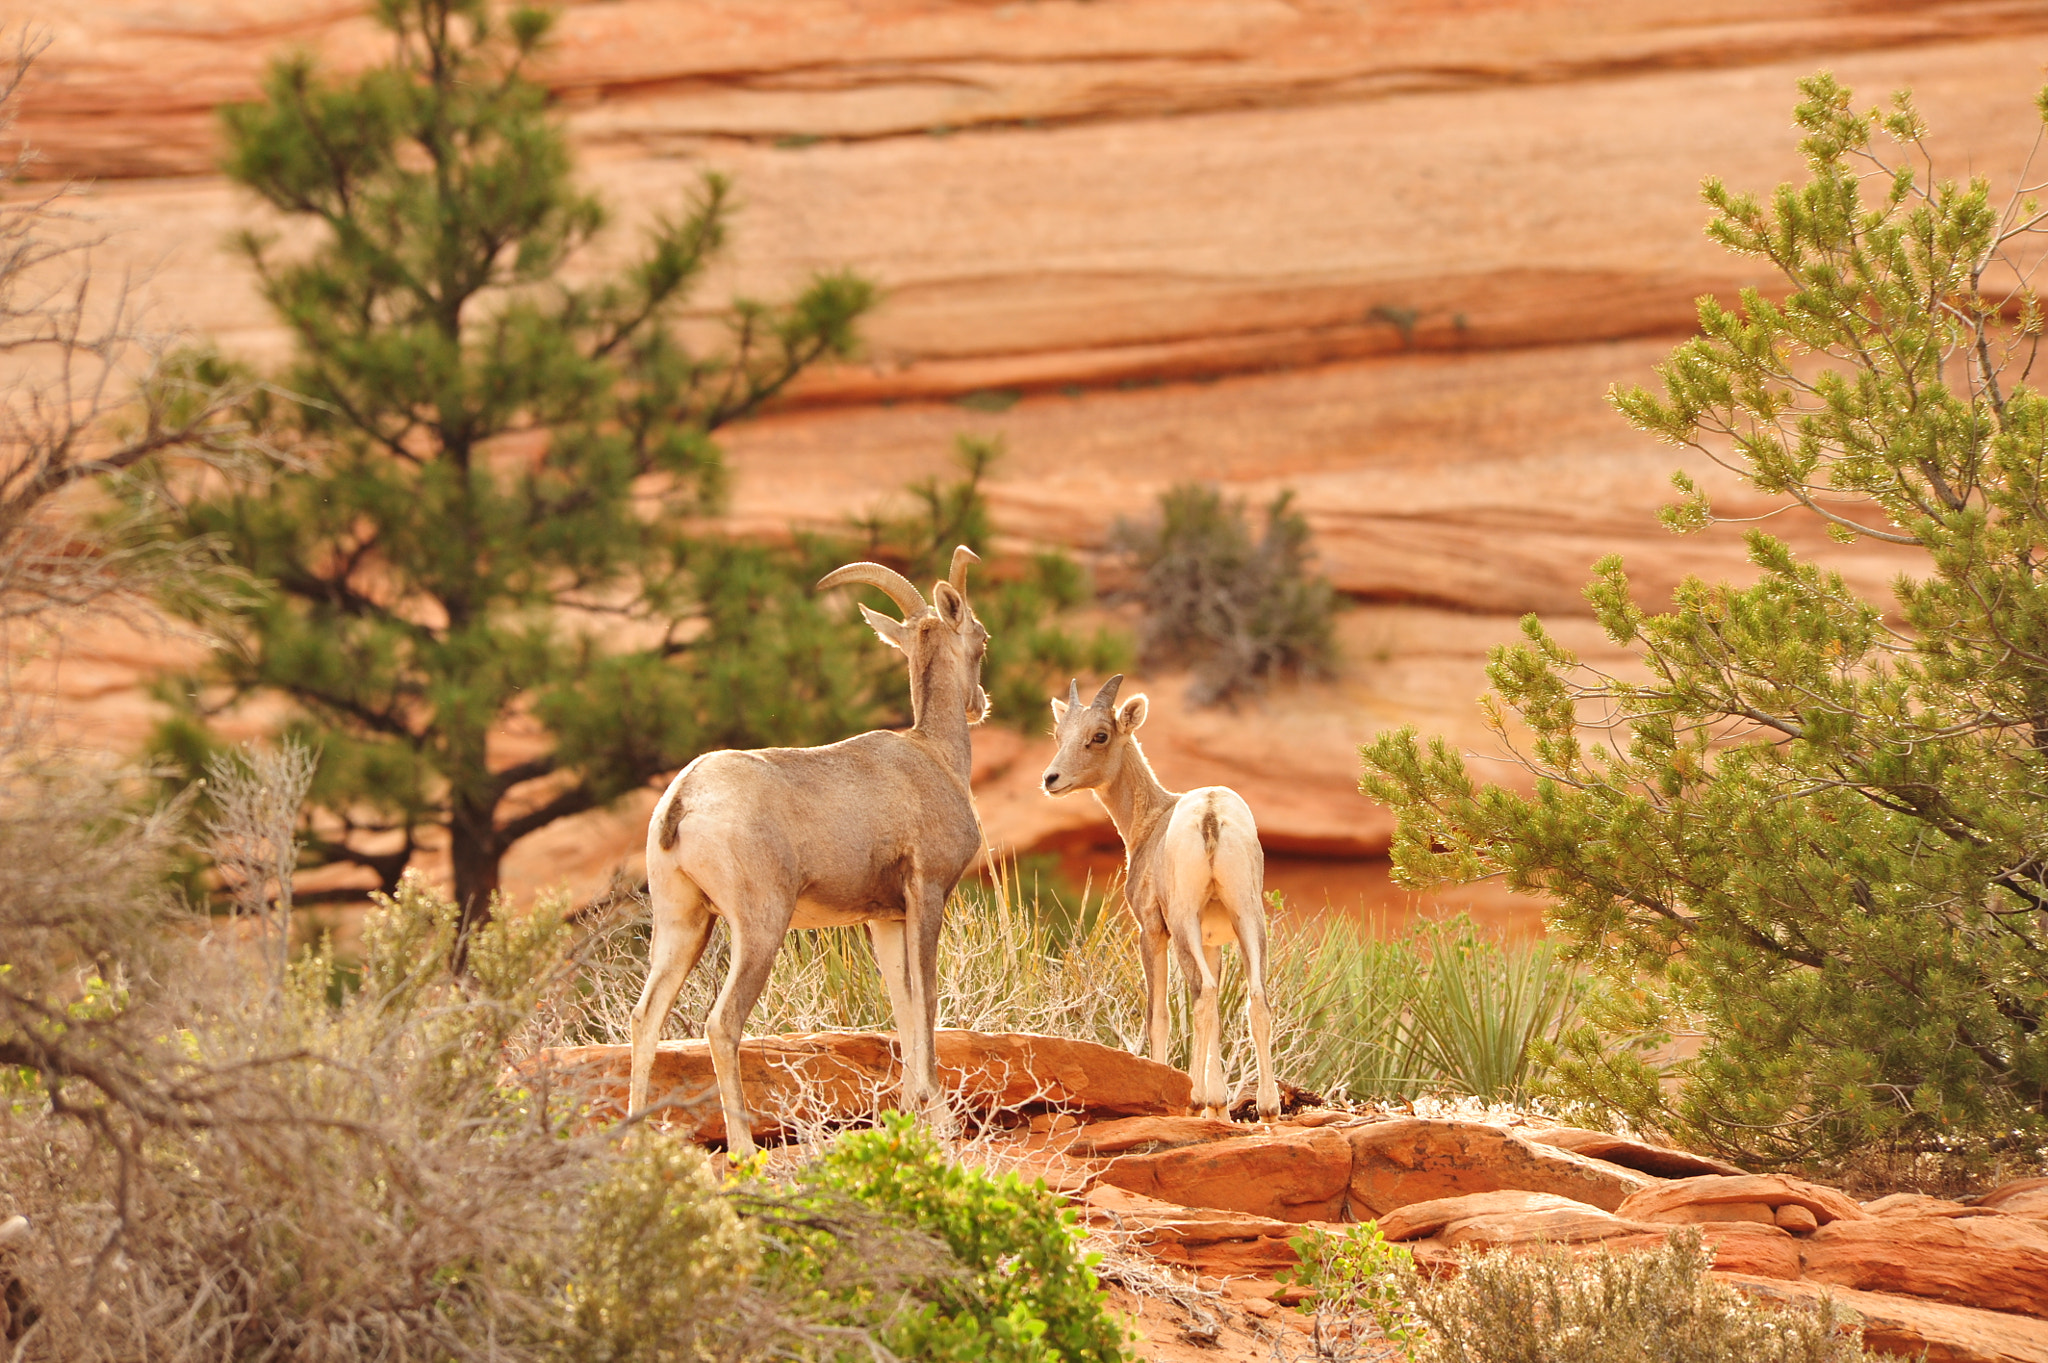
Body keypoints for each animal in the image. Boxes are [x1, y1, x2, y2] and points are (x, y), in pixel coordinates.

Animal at [628, 547, 989, 1158]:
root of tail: (684, 799)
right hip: (760, 927)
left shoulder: (886, 919)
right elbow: (927, 1002)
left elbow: (903, 1006)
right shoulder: (927, 897)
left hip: (684, 924)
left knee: (644, 1018)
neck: (935, 757)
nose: (980, 707)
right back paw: (743, 1149)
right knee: (721, 1023)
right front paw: (939, 1121)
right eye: (981, 641)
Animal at [1041, 675, 1279, 1120]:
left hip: (1183, 922)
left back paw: (1194, 1099)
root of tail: (1209, 816)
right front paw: (1220, 1108)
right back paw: (1268, 1109)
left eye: (1099, 735)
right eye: (1059, 733)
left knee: (1202, 994)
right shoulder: (1213, 941)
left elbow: (1159, 1015)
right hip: (1248, 917)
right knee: (1253, 996)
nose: (1051, 779)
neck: (1149, 823)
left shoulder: (1151, 930)